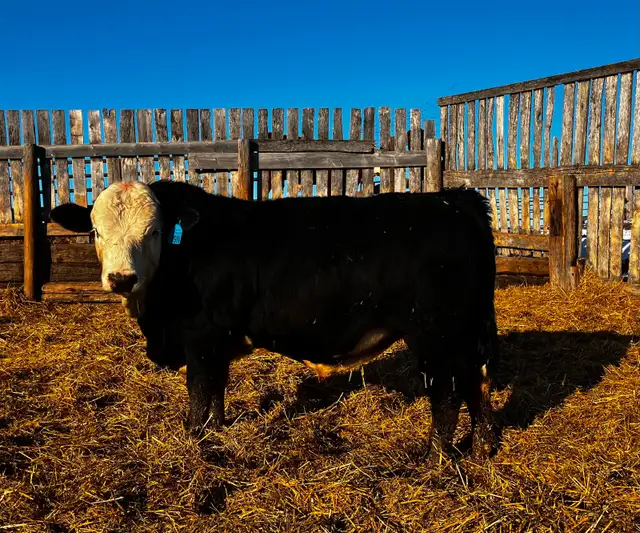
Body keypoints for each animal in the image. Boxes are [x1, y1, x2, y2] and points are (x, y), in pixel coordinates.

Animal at [50, 180, 499, 461]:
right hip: (464, 334)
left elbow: (199, 392)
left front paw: (195, 438)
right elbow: (217, 389)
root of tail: (453, 201)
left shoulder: (201, 339)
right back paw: (479, 447)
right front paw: (218, 429)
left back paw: (433, 458)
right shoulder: (217, 343)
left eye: (155, 231)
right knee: (475, 384)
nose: (122, 278)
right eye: (95, 231)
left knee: (447, 393)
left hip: (436, 334)